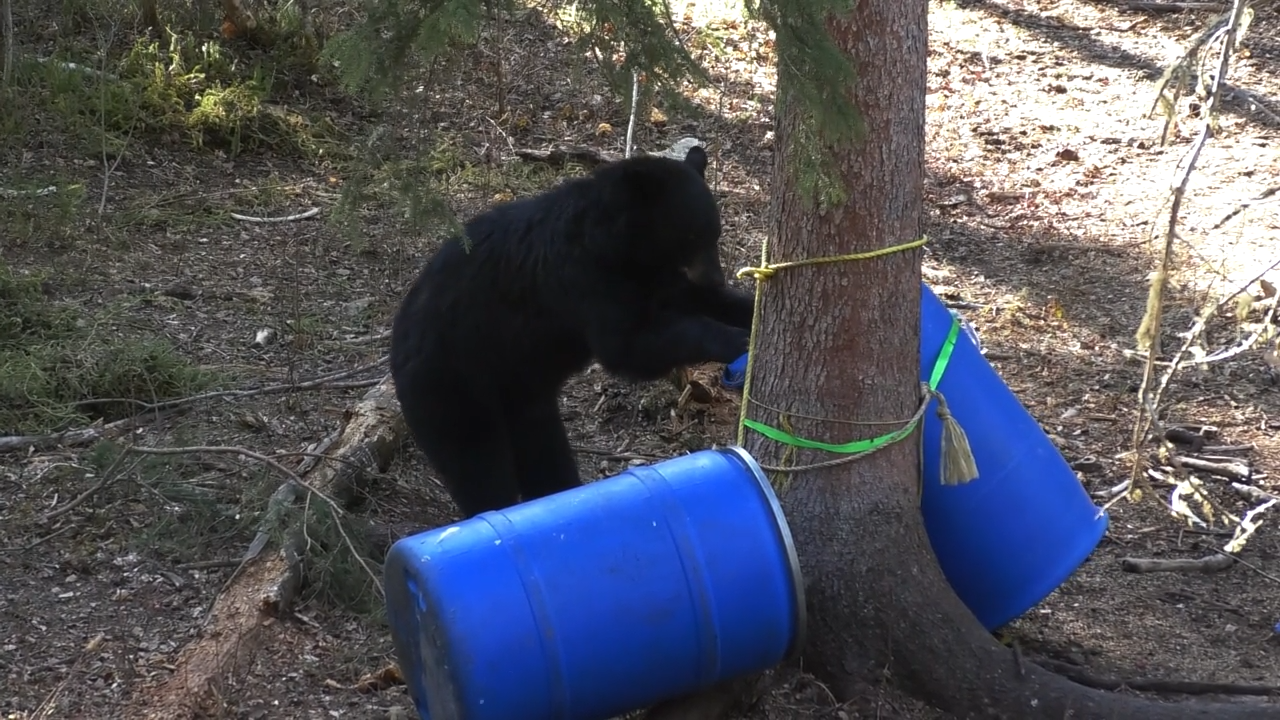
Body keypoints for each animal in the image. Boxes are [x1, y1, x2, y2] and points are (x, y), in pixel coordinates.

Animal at [389, 145, 754, 519]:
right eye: (691, 236)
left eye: (715, 233)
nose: (715, 278)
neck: (624, 250)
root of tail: (396, 342)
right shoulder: (584, 279)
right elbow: (628, 346)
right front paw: (735, 340)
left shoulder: (656, 279)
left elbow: (699, 301)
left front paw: (749, 311)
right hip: (454, 385)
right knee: (478, 466)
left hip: (524, 396)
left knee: (545, 453)